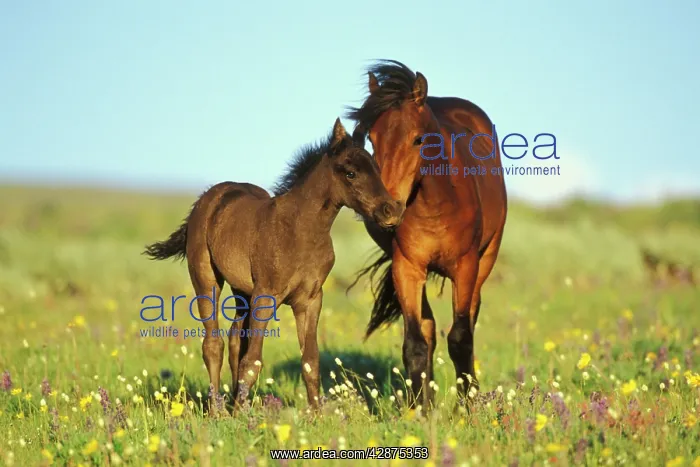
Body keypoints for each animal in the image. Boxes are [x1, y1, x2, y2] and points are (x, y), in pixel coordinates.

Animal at [143, 118, 405, 414]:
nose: (391, 211)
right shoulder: (266, 296)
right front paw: (240, 415)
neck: (301, 231)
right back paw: (217, 410)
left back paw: (230, 403)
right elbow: (253, 360)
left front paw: (316, 416)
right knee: (213, 343)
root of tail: (207, 197)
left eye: (377, 169)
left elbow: (310, 361)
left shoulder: (310, 300)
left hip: (242, 291)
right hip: (206, 278)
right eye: (350, 173)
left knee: (236, 338)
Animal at [346, 60, 507, 409]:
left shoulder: (466, 267)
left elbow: (460, 338)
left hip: (485, 262)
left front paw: (466, 407)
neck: (436, 205)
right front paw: (419, 410)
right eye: (372, 140)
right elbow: (415, 344)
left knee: (468, 322)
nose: (387, 209)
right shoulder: (406, 267)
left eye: (418, 139)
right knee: (429, 328)